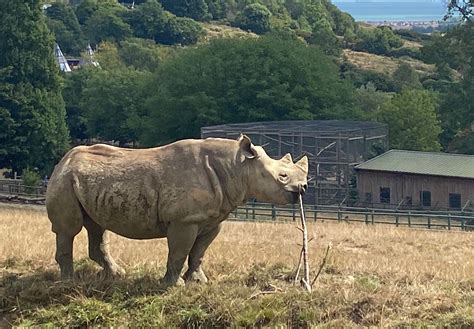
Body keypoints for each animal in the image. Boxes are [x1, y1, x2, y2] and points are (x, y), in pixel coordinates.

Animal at [46, 134, 308, 284]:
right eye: (282, 177)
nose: (303, 188)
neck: (238, 166)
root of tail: (62, 160)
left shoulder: (212, 218)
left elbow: (199, 252)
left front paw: (198, 281)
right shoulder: (185, 219)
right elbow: (179, 252)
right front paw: (173, 285)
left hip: (86, 183)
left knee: (97, 228)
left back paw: (117, 275)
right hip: (64, 180)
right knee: (69, 229)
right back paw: (69, 282)